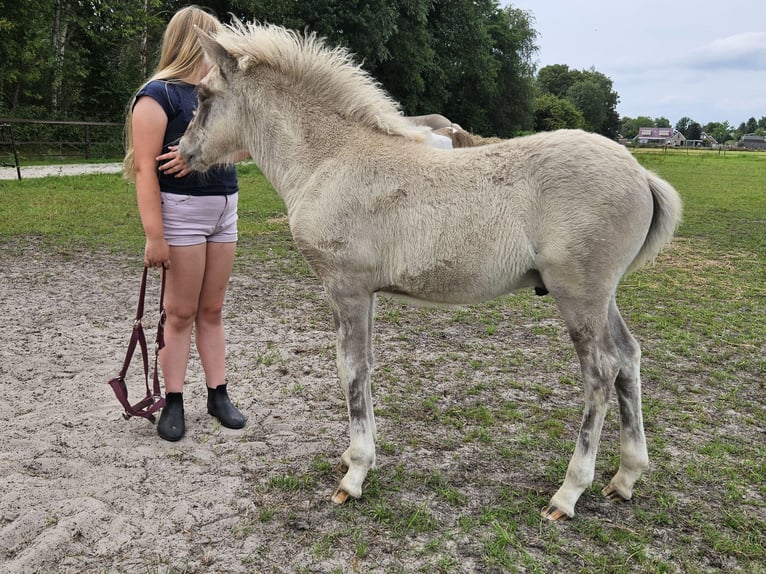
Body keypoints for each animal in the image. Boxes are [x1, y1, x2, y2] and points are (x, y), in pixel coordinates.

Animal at [182, 22, 684, 524]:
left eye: (203, 95)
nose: (182, 151)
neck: (330, 160)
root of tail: (640, 174)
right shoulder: (364, 292)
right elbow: (362, 366)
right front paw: (354, 457)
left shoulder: (347, 287)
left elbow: (351, 368)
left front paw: (355, 473)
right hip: (601, 297)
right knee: (628, 357)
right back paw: (625, 477)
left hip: (577, 295)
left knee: (601, 371)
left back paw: (569, 492)